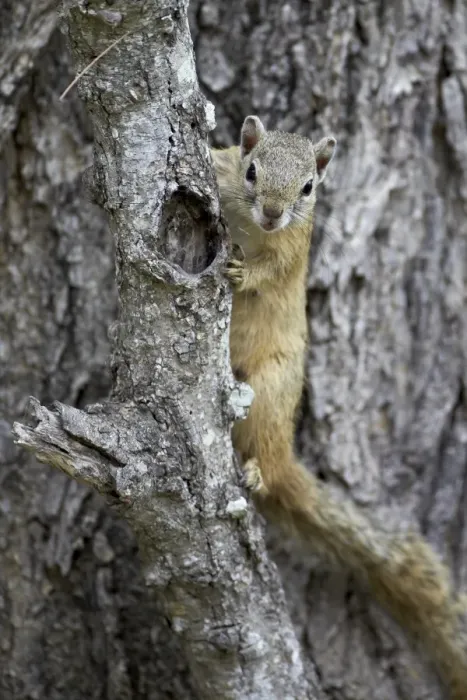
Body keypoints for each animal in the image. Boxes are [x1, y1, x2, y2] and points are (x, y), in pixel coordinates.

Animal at [211, 116, 467, 698]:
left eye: (309, 187)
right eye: (251, 169)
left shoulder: (293, 249)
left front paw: (242, 275)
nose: (273, 213)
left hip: (273, 390)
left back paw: (257, 472)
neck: (253, 226)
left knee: (265, 452)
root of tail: (285, 455)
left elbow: (270, 274)